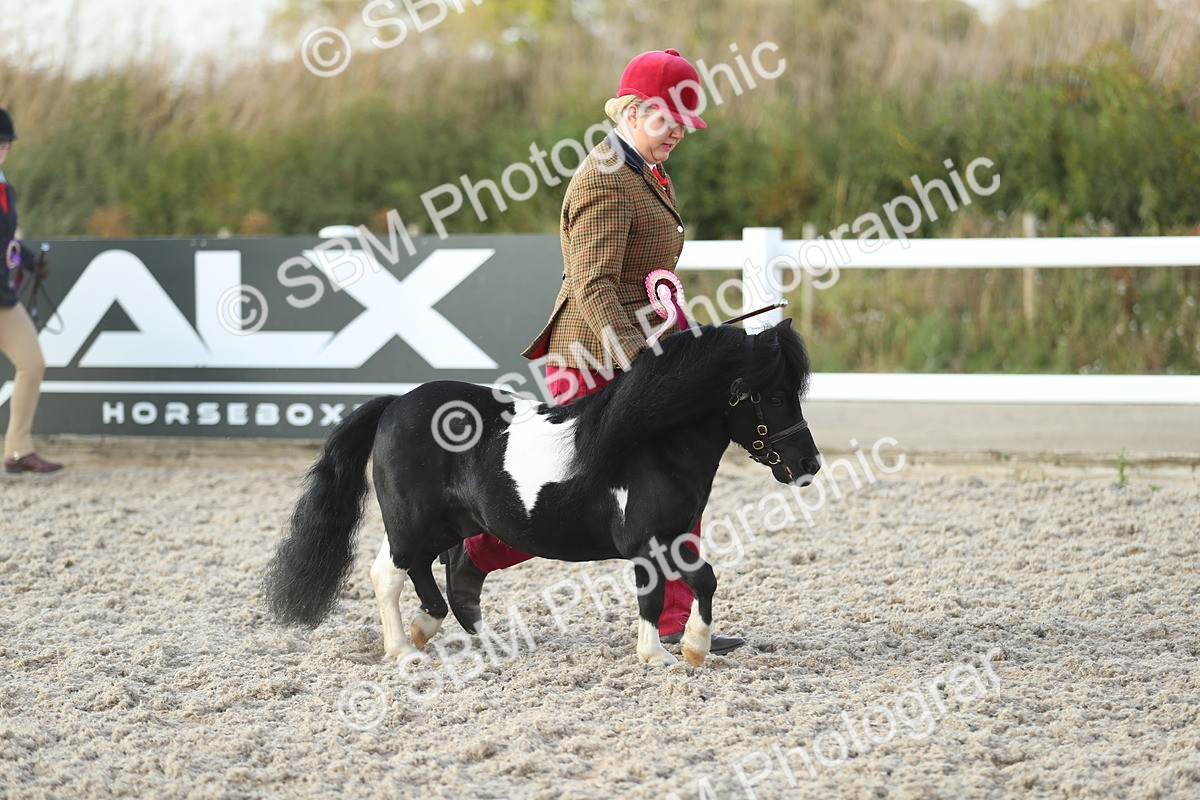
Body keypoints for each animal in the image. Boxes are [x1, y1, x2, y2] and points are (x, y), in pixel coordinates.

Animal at [263, 318, 821, 667]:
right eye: (774, 396)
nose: (809, 465)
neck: (653, 444)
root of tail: (396, 403)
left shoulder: (674, 538)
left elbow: (686, 586)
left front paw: (680, 650)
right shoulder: (649, 542)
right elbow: (676, 587)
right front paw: (675, 653)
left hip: (448, 521)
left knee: (432, 567)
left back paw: (440, 630)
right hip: (410, 519)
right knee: (389, 574)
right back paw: (403, 649)